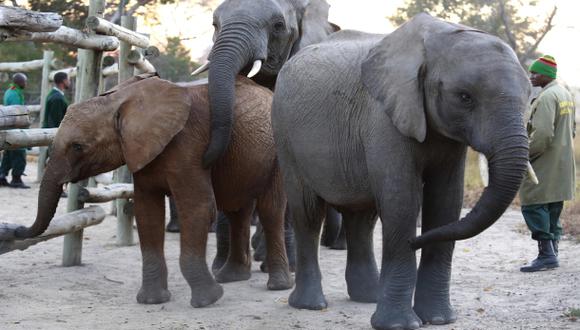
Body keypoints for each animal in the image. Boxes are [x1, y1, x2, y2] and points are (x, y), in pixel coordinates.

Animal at [14, 75, 294, 310]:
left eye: (78, 147)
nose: (16, 230)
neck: (121, 100)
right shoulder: (141, 152)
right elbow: (147, 213)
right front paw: (152, 301)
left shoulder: (188, 146)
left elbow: (198, 208)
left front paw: (207, 301)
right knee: (238, 212)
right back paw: (231, 277)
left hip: (277, 154)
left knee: (270, 210)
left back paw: (277, 285)